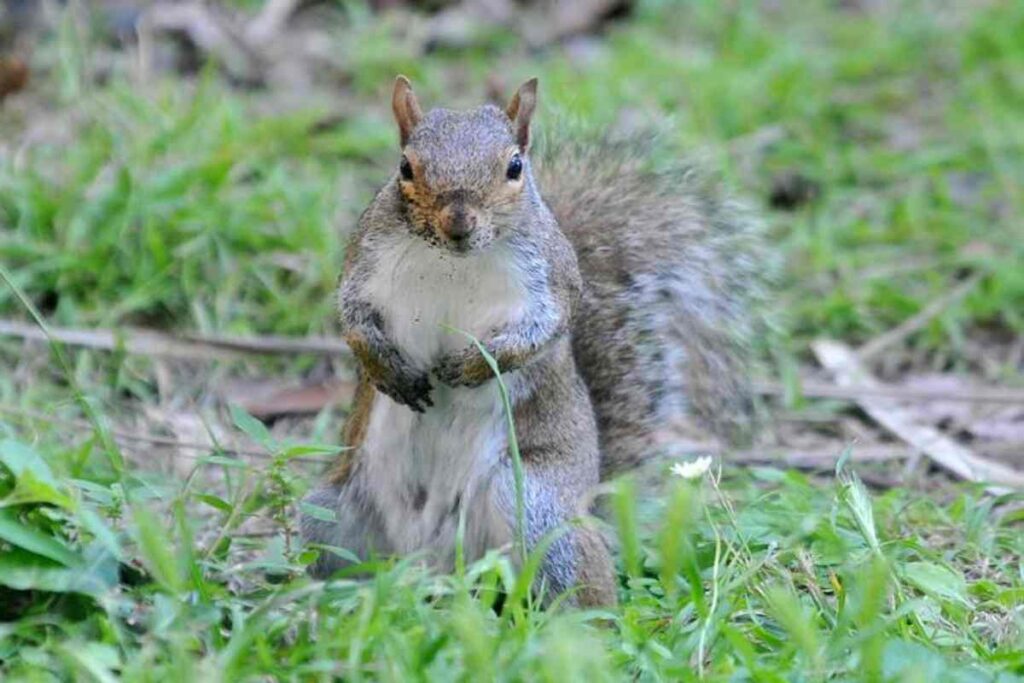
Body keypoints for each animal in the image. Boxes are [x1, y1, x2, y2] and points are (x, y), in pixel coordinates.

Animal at [299, 76, 765, 610]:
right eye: (405, 167)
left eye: (514, 166)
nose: (459, 223)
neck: (453, 261)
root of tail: (436, 561)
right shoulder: (363, 261)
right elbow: (352, 320)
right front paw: (387, 370)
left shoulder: (552, 279)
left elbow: (545, 328)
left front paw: (473, 366)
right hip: (327, 510)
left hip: (534, 506)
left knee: (583, 586)